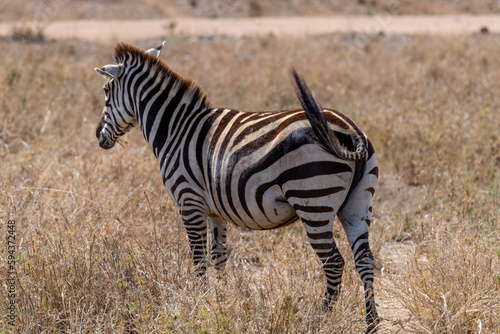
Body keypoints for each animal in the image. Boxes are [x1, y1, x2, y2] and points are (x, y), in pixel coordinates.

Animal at [94, 41, 378, 332]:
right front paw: (220, 302)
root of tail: (350, 130)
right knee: (364, 259)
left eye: (105, 92)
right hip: (358, 203)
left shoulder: (189, 201)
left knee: (334, 262)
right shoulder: (215, 210)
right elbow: (218, 257)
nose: (97, 136)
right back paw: (371, 322)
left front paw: (199, 303)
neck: (175, 129)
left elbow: (199, 258)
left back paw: (321, 317)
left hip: (313, 199)